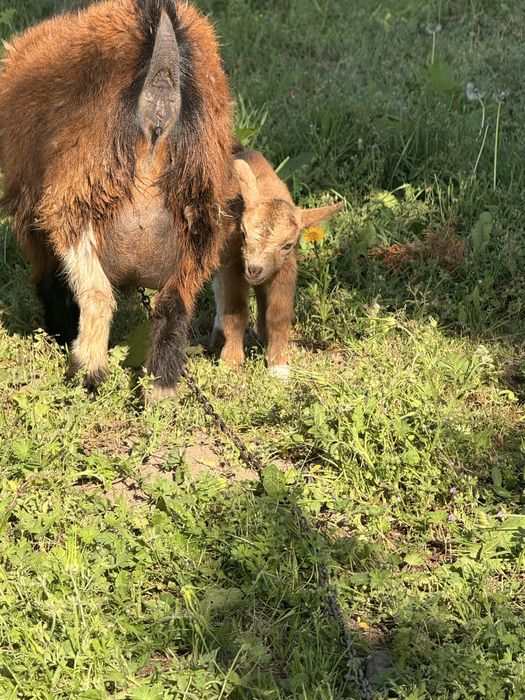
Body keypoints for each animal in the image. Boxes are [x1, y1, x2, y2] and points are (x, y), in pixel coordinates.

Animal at [0, 0, 233, 399]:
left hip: (79, 197)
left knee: (97, 295)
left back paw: (86, 374)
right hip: (201, 219)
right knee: (173, 306)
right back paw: (159, 389)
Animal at [211, 149, 343, 380]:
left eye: (288, 244)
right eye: (243, 233)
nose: (254, 269)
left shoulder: (286, 267)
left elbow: (279, 314)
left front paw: (278, 365)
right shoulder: (234, 261)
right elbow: (236, 311)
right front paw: (231, 361)